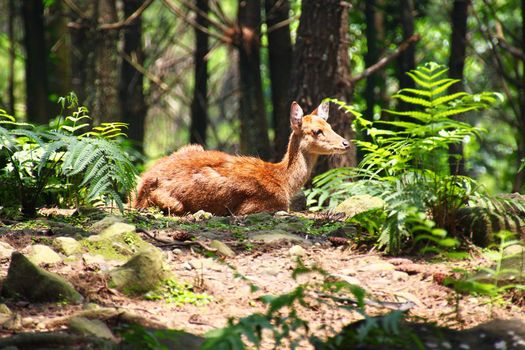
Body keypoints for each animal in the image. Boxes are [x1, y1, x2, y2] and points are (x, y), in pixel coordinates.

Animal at [133, 101, 350, 216]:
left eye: (329, 126)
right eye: (317, 131)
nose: (346, 143)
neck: (284, 181)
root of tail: (141, 185)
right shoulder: (261, 205)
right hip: (171, 202)